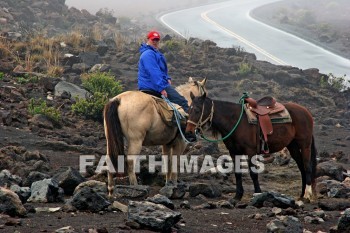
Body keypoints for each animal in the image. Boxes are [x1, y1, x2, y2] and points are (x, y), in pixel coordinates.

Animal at [186, 92, 318, 201]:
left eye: (197, 110)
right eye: (188, 110)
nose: (189, 133)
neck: (235, 121)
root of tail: (305, 112)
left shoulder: (250, 151)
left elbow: (253, 173)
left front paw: (258, 193)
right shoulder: (233, 152)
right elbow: (237, 173)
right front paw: (237, 196)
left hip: (305, 145)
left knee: (307, 167)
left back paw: (307, 194)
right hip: (293, 146)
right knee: (301, 167)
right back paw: (301, 194)